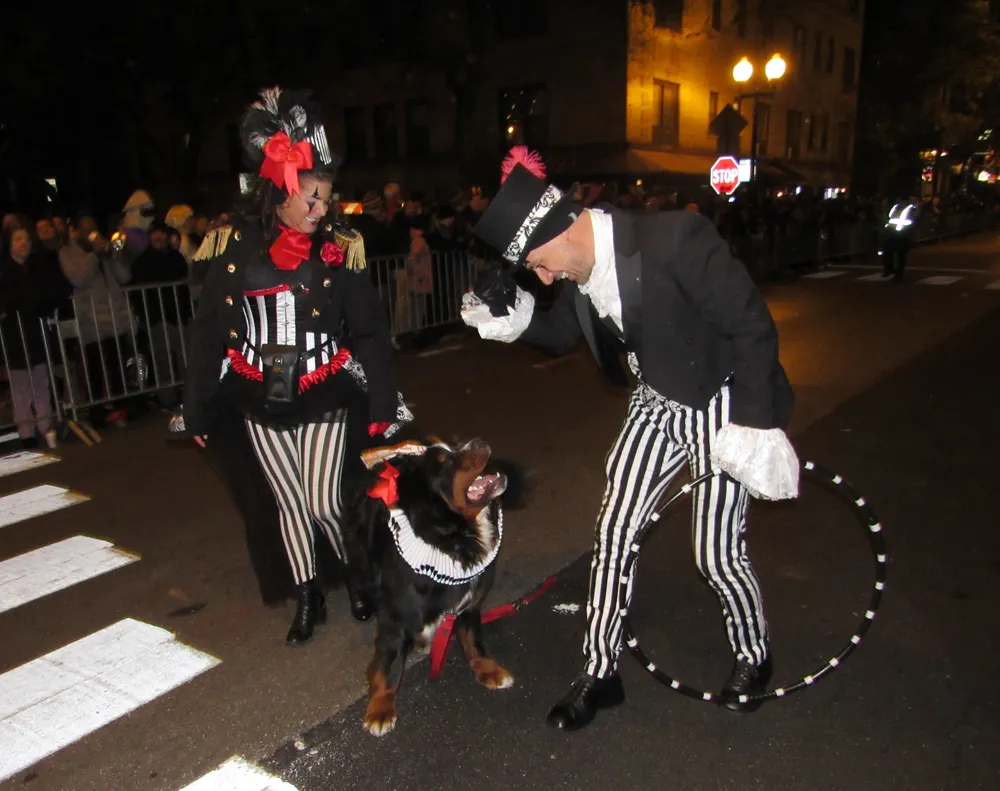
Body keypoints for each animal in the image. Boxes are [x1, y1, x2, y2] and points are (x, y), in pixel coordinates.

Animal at [347, 437, 521, 737]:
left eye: (455, 445)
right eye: (445, 463)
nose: (478, 441)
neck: (453, 543)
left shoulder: (470, 605)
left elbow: (473, 641)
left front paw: (488, 669)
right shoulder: (395, 620)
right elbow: (386, 667)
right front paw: (380, 708)